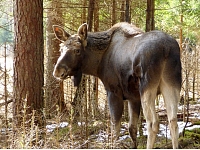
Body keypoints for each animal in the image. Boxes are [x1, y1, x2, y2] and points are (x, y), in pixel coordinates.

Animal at [52, 22, 182, 149]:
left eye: (77, 50)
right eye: (61, 48)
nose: (57, 71)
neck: (97, 64)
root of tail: (166, 49)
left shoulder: (114, 92)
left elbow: (115, 130)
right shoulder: (133, 97)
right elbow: (132, 128)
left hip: (147, 87)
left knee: (153, 123)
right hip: (171, 84)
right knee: (173, 122)